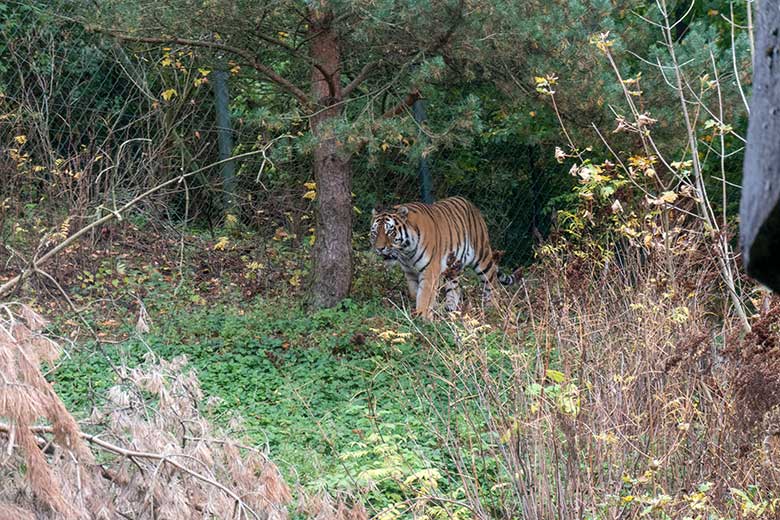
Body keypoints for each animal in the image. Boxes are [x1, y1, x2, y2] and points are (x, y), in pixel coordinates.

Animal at [370, 195, 516, 316]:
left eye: (390, 232)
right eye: (375, 232)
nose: (379, 249)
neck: (406, 252)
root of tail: (472, 205)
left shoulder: (430, 271)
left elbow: (424, 296)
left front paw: (423, 318)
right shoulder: (409, 272)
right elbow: (415, 293)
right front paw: (428, 309)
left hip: (482, 257)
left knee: (491, 281)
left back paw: (492, 308)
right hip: (453, 265)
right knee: (455, 288)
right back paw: (450, 309)